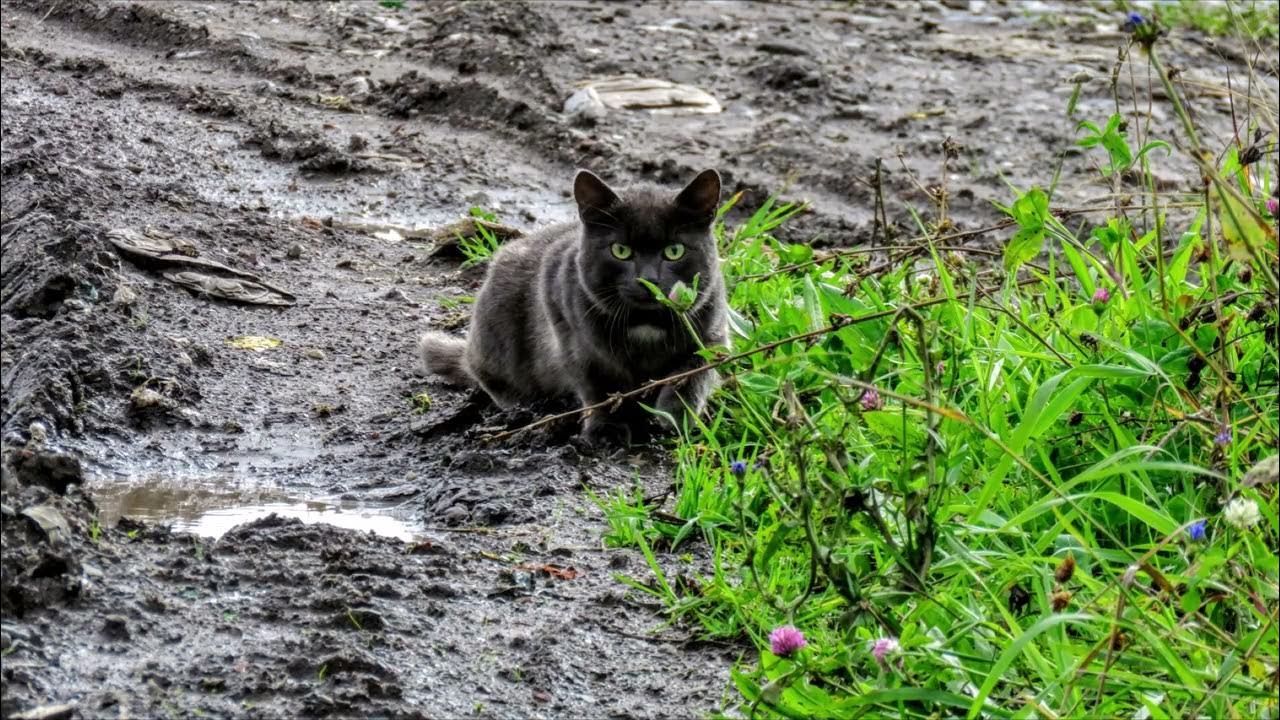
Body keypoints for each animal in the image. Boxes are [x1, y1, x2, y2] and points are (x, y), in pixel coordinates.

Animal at [422, 169, 732, 443]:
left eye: (674, 251)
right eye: (620, 251)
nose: (648, 280)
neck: (645, 322)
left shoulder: (712, 332)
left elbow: (693, 374)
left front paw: (675, 417)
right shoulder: (573, 337)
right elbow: (598, 386)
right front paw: (607, 430)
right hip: (496, 331)